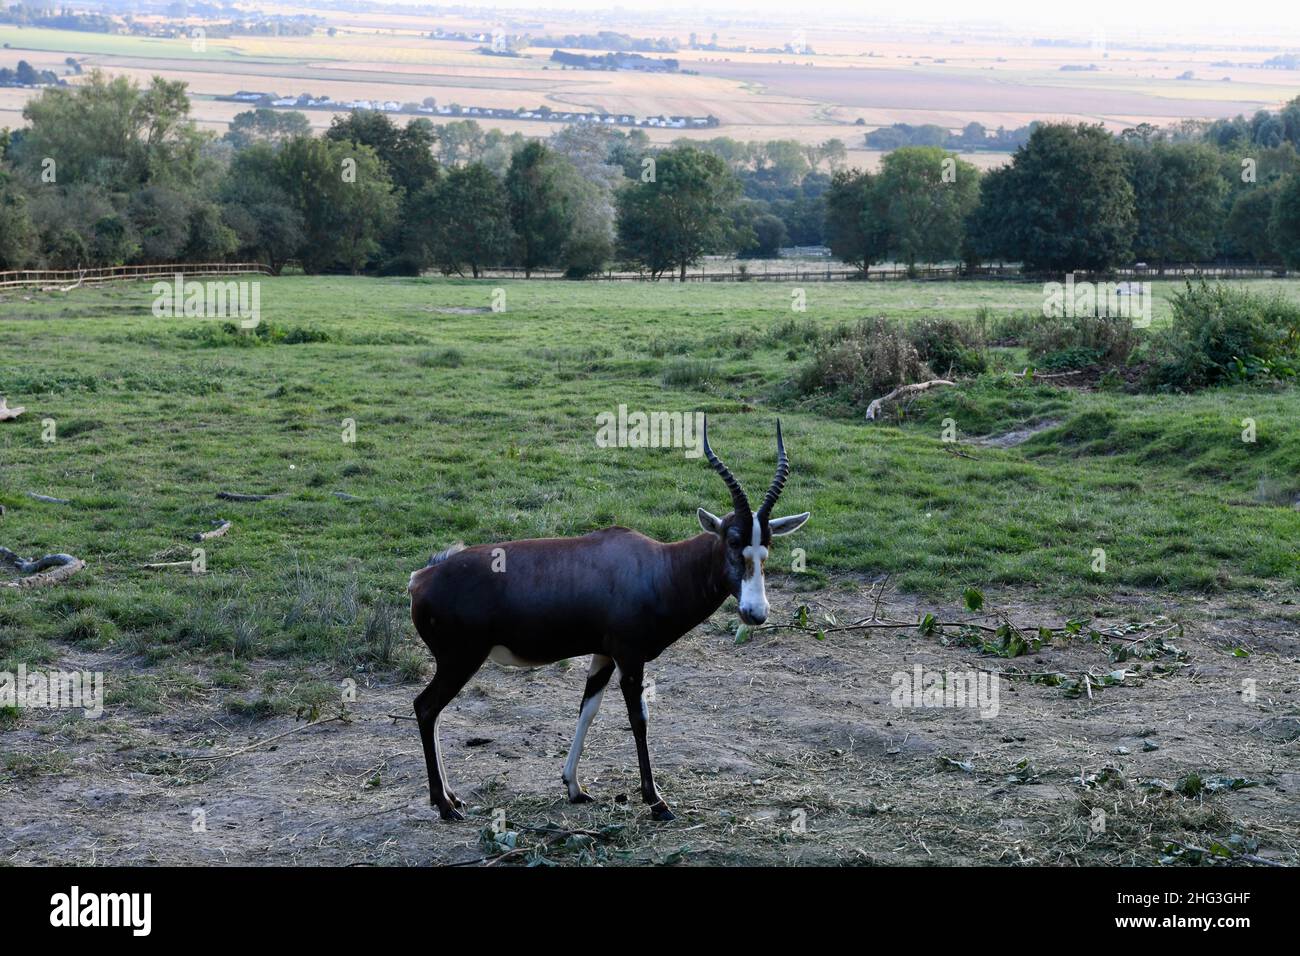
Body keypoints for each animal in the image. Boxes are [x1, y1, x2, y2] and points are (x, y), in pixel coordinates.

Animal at [408, 418, 811, 822]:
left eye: (766, 546)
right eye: (732, 541)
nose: (755, 612)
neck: (657, 567)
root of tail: (422, 577)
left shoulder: (603, 655)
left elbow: (587, 710)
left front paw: (574, 787)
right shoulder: (630, 658)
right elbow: (639, 719)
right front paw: (657, 801)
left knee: (434, 712)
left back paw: (453, 797)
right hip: (460, 661)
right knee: (426, 708)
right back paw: (444, 805)